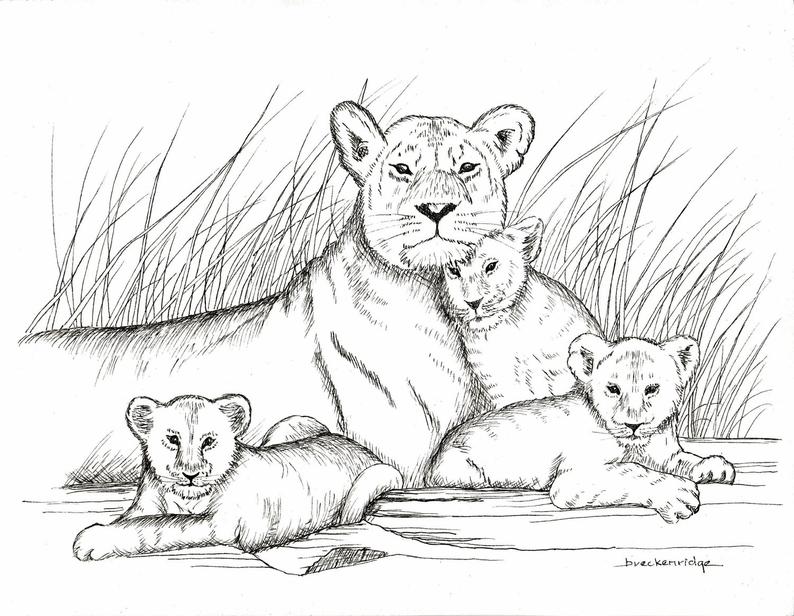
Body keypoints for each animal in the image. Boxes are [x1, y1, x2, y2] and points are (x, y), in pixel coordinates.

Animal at [73, 394, 402, 560]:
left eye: (209, 440)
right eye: (172, 438)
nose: (190, 473)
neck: (185, 497)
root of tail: (358, 447)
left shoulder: (220, 524)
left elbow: (159, 527)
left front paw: (91, 540)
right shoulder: (146, 503)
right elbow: (134, 518)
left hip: (369, 476)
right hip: (290, 425)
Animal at [426, 334, 736, 523]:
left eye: (652, 388)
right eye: (613, 388)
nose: (633, 424)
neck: (635, 444)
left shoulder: (662, 452)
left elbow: (683, 459)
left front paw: (714, 467)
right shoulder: (573, 478)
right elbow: (629, 472)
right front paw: (677, 495)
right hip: (460, 469)